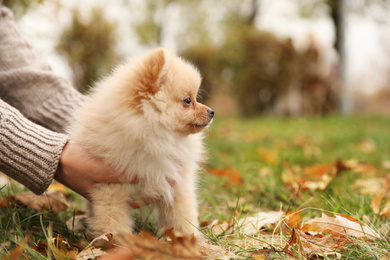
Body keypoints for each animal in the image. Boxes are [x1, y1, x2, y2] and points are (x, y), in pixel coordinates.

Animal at [71, 48, 215, 244]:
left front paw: (189, 240)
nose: (212, 111)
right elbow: (113, 224)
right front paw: (120, 245)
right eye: (187, 101)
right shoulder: (109, 189)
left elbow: (181, 217)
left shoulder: (176, 184)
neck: (155, 139)